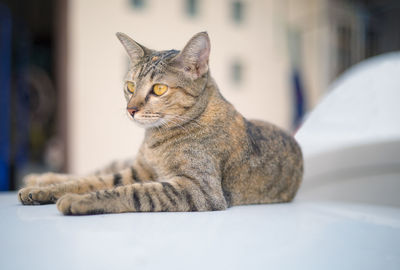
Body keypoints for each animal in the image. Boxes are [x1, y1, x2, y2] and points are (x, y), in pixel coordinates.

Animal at [16, 31, 304, 215]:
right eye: (130, 86)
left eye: (159, 89)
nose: (130, 109)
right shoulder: (138, 171)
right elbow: (92, 181)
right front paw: (47, 190)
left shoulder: (198, 189)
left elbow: (129, 192)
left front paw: (77, 200)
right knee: (91, 171)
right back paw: (38, 179)